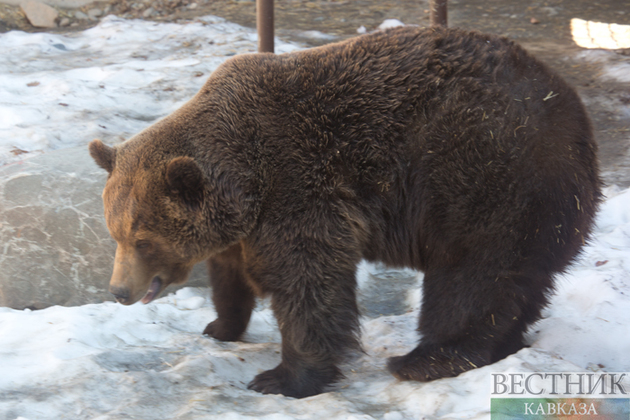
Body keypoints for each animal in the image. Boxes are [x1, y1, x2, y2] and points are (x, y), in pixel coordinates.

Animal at [89, 24, 604, 398]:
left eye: (143, 240)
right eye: (115, 233)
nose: (119, 291)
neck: (245, 178)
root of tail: (575, 111)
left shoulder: (297, 185)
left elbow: (306, 281)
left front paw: (283, 377)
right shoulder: (242, 225)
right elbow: (231, 275)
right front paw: (221, 325)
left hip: (488, 175)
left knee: (473, 275)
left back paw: (427, 358)